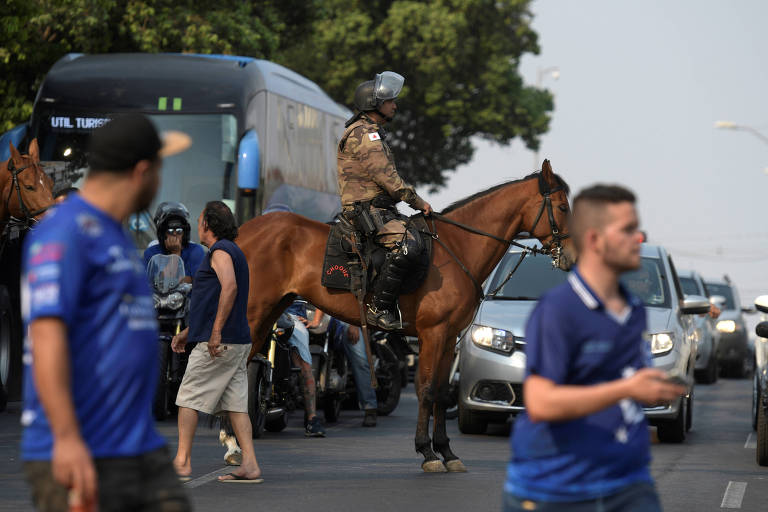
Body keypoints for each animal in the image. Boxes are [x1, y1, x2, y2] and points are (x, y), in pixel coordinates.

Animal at [237, 159, 572, 472]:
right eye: (563, 206)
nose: (569, 257)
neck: (458, 248)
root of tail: (242, 231)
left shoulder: (449, 337)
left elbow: (441, 393)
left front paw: (446, 451)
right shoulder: (433, 333)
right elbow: (426, 390)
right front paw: (427, 452)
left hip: (270, 312)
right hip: (254, 312)